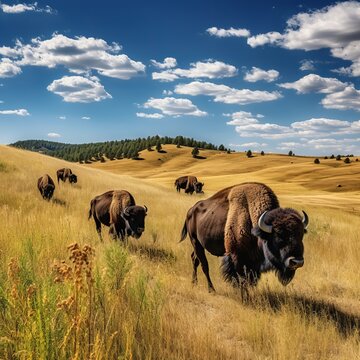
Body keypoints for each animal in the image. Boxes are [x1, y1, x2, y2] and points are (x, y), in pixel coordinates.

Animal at [179, 183, 308, 292]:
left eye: (301, 234)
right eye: (279, 235)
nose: (297, 262)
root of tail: (190, 210)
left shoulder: (253, 263)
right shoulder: (237, 257)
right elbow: (241, 279)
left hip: (199, 245)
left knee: (195, 259)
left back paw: (194, 283)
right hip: (195, 241)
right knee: (204, 265)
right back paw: (211, 290)